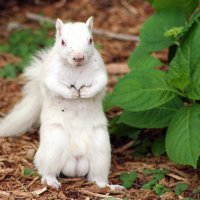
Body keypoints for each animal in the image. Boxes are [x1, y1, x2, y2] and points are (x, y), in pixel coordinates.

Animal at [0, 16, 122, 189]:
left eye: (90, 40)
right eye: (63, 42)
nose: (78, 57)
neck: (76, 69)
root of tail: (76, 161)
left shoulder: (100, 72)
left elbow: (100, 83)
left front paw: (85, 93)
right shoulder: (51, 75)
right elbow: (55, 86)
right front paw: (72, 93)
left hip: (101, 151)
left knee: (97, 178)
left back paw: (110, 186)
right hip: (54, 146)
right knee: (46, 170)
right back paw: (51, 182)